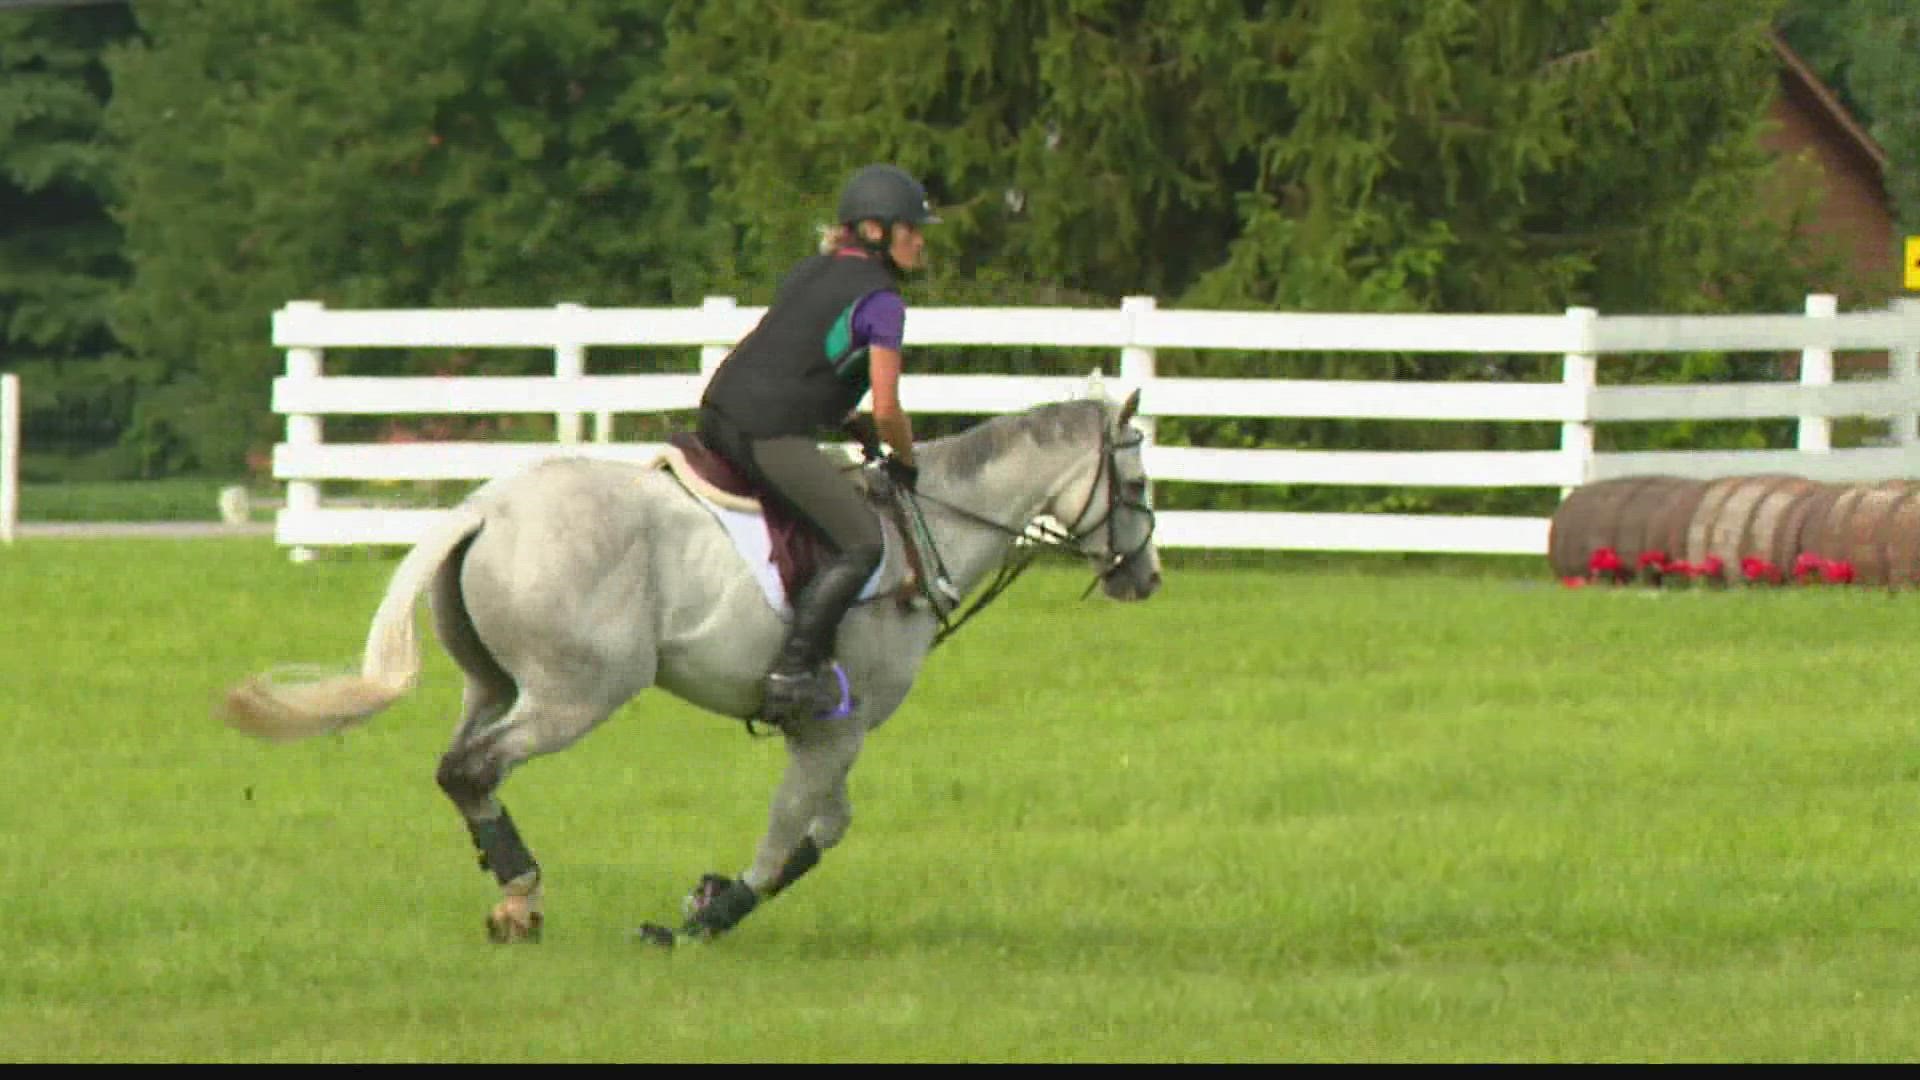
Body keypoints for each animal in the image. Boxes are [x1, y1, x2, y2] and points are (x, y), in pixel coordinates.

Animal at [220, 388, 1152, 941]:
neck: (930, 531)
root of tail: (485, 509)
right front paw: (714, 913)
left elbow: (823, 827)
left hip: (496, 683)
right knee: (471, 767)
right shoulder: (838, 727)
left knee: (463, 763)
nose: (1144, 577)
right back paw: (523, 892)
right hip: (576, 695)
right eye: (1139, 481)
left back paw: (510, 884)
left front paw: (711, 896)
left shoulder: (819, 729)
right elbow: (791, 831)